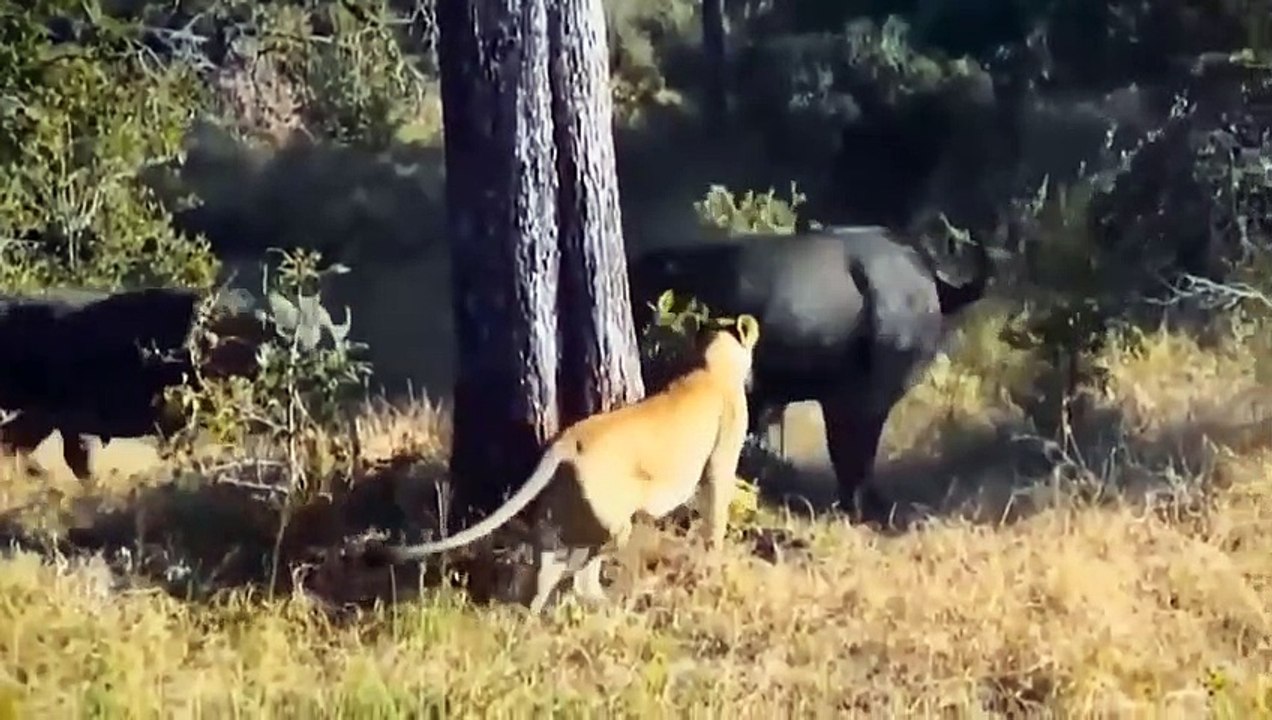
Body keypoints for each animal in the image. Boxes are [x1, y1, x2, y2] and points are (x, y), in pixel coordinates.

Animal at [366, 314, 761, 614]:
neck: (710, 364)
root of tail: (567, 441)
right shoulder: (720, 462)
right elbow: (716, 513)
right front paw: (714, 562)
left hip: (559, 518)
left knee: (547, 568)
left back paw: (536, 618)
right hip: (613, 523)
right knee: (579, 573)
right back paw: (610, 604)